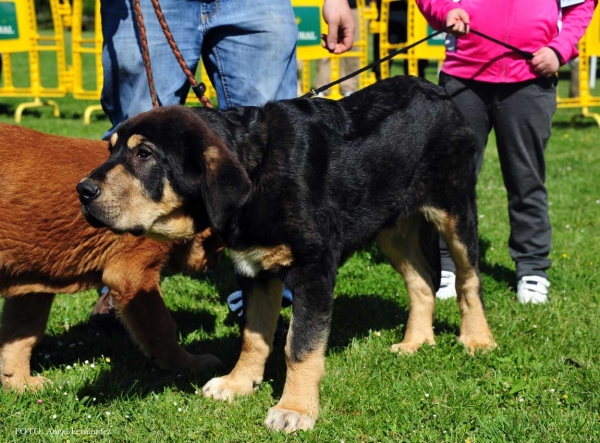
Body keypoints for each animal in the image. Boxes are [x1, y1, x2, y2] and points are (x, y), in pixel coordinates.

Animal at [0, 124, 223, 392]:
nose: (213, 263)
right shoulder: (133, 275)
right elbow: (162, 328)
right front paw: (188, 365)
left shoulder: (33, 283)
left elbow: (21, 336)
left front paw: (22, 385)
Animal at [76, 77, 496, 434]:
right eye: (112, 149)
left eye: (144, 154)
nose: (82, 190)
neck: (255, 171)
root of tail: (437, 91)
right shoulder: (255, 269)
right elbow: (253, 336)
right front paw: (238, 383)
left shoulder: (314, 271)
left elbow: (300, 346)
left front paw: (295, 408)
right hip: (393, 228)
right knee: (421, 281)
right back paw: (417, 342)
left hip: (455, 209)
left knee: (468, 278)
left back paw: (477, 339)